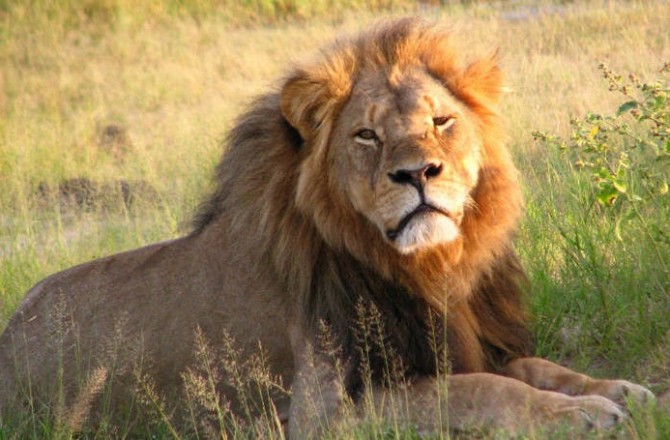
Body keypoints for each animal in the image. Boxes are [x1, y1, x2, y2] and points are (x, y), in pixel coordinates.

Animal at [0, 18, 653, 437]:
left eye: (441, 121)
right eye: (366, 135)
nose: (417, 173)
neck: (429, 269)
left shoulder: (457, 341)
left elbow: (535, 368)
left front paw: (618, 390)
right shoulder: (324, 412)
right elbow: (482, 389)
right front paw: (574, 415)